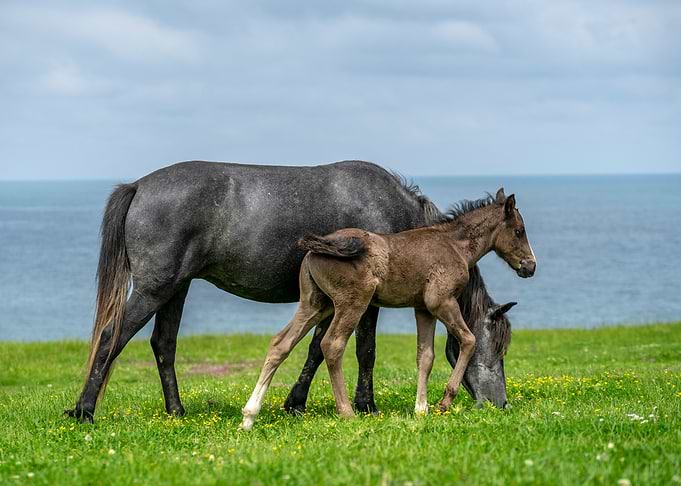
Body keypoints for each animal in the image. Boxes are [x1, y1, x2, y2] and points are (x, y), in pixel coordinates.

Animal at [64, 160, 513, 422]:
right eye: (496, 347)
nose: (501, 403)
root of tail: (139, 185)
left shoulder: (330, 301)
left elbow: (315, 348)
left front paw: (295, 402)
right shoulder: (364, 302)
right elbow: (363, 350)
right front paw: (365, 405)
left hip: (175, 288)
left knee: (163, 344)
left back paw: (176, 411)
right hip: (155, 288)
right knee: (113, 337)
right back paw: (84, 410)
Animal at [241, 189, 536, 429]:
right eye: (519, 231)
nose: (530, 266)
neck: (454, 245)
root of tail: (321, 247)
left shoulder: (423, 309)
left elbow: (425, 356)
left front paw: (421, 409)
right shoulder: (442, 302)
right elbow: (469, 340)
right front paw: (444, 402)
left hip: (314, 304)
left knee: (280, 343)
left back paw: (249, 416)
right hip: (352, 303)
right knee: (332, 345)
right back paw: (347, 412)